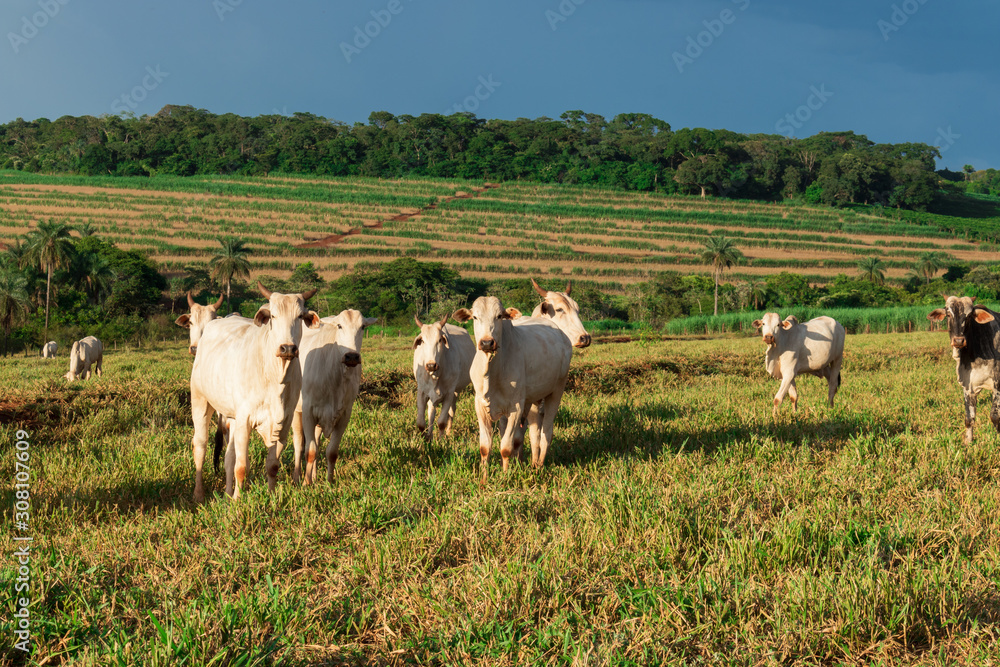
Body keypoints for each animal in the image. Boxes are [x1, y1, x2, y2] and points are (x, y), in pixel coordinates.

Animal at [189, 283, 320, 502]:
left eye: (300, 316)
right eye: (273, 316)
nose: (287, 348)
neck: (275, 376)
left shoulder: (282, 424)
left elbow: (272, 466)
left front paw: (271, 496)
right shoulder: (245, 421)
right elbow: (241, 467)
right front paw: (237, 501)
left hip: (231, 416)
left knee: (229, 456)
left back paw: (227, 492)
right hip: (200, 400)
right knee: (200, 445)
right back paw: (199, 494)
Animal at [291, 309, 378, 485]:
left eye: (363, 327)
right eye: (339, 325)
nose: (352, 356)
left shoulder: (344, 415)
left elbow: (331, 452)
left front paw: (329, 481)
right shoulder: (308, 412)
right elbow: (309, 450)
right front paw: (306, 483)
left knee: (317, 442)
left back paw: (314, 475)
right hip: (296, 412)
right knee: (298, 444)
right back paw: (297, 477)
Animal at [453, 296, 573, 478]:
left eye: (499, 316)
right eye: (475, 317)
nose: (487, 343)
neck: (492, 370)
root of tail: (562, 335)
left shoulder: (515, 407)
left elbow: (506, 447)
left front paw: (504, 476)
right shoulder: (480, 404)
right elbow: (485, 447)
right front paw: (484, 479)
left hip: (557, 389)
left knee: (546, 432)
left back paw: (539, 466)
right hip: (533, 399)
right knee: (534, 433)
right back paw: (532, 463)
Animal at [928, 296, 1000, 443]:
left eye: (969, 316)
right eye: (948, 314)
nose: (959, 341)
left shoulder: (997, 384)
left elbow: (995, 417)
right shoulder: (968, 386)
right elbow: (969, 419)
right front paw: (968, 442)